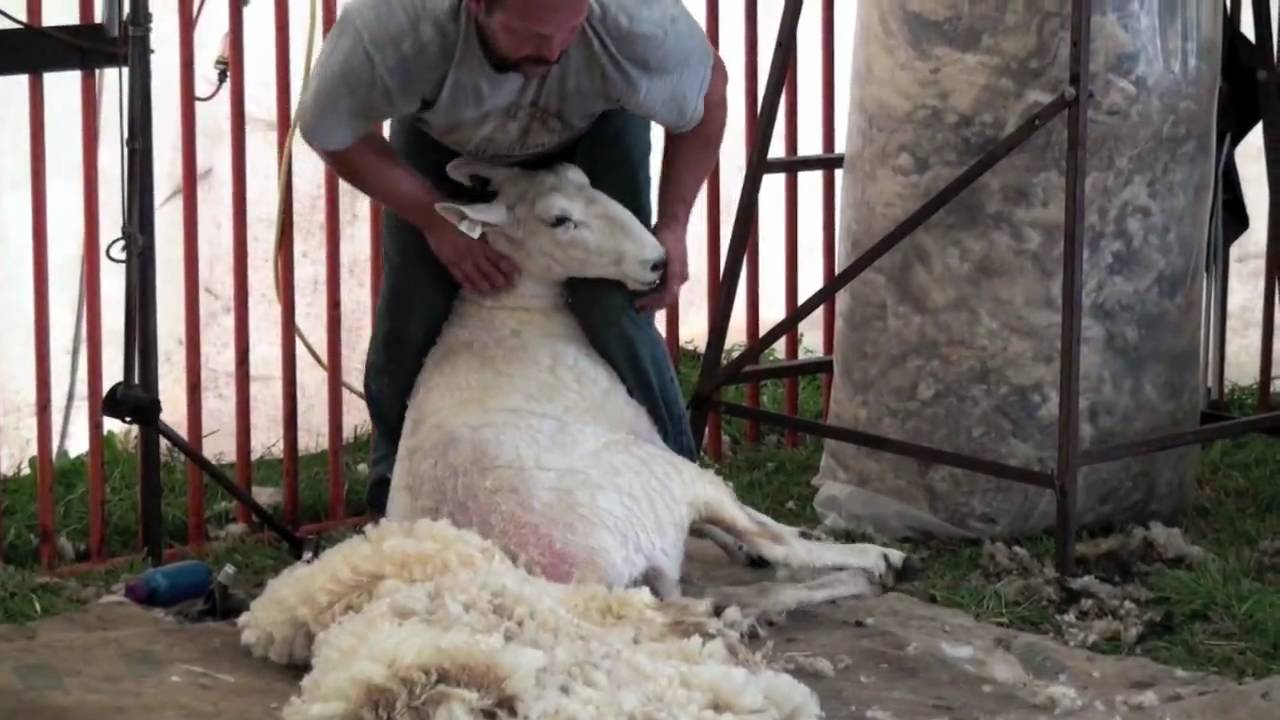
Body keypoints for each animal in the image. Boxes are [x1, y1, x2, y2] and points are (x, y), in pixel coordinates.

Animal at [240, 159, 921, 712]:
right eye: (558, 220)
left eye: (584, 178)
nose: (657, 261)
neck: (508, 313)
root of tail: (564, 583)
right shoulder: (651, 441)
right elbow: (764, 530)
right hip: (662, 479)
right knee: (777, 549)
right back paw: (875, 563)